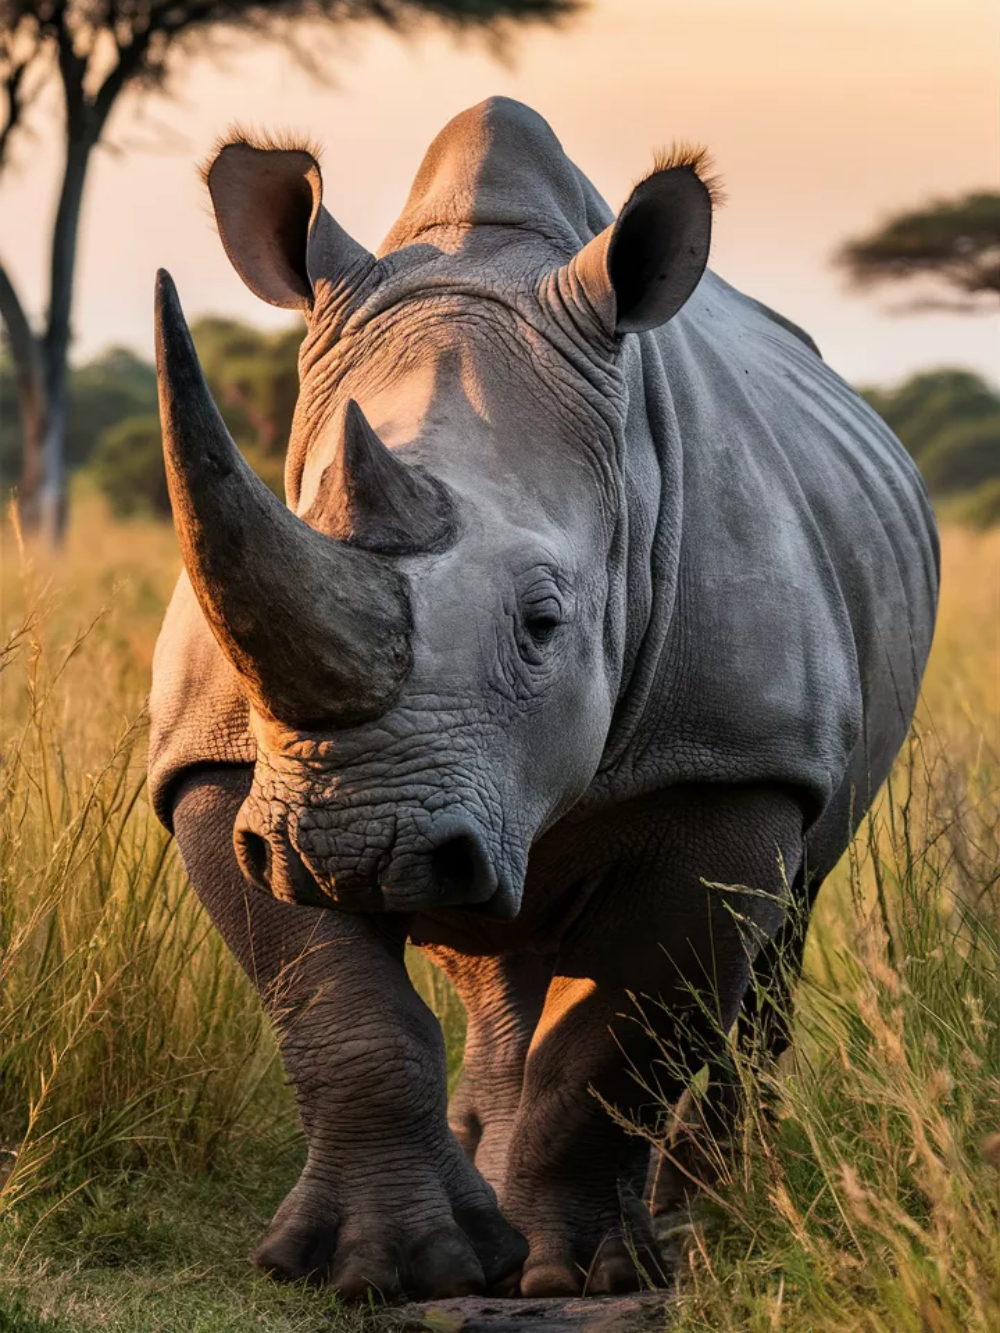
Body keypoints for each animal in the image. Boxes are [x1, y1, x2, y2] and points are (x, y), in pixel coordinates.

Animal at [148, 97, 939, 1299]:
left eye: (543, 624)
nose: (351, 850)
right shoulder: (223, 762)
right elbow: (336, 1011)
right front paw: (388, 1265)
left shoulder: (732, 757)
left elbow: (618, 1032)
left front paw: (582, 1273)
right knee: (500, 944)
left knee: (778, 931)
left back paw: (710, 1210)